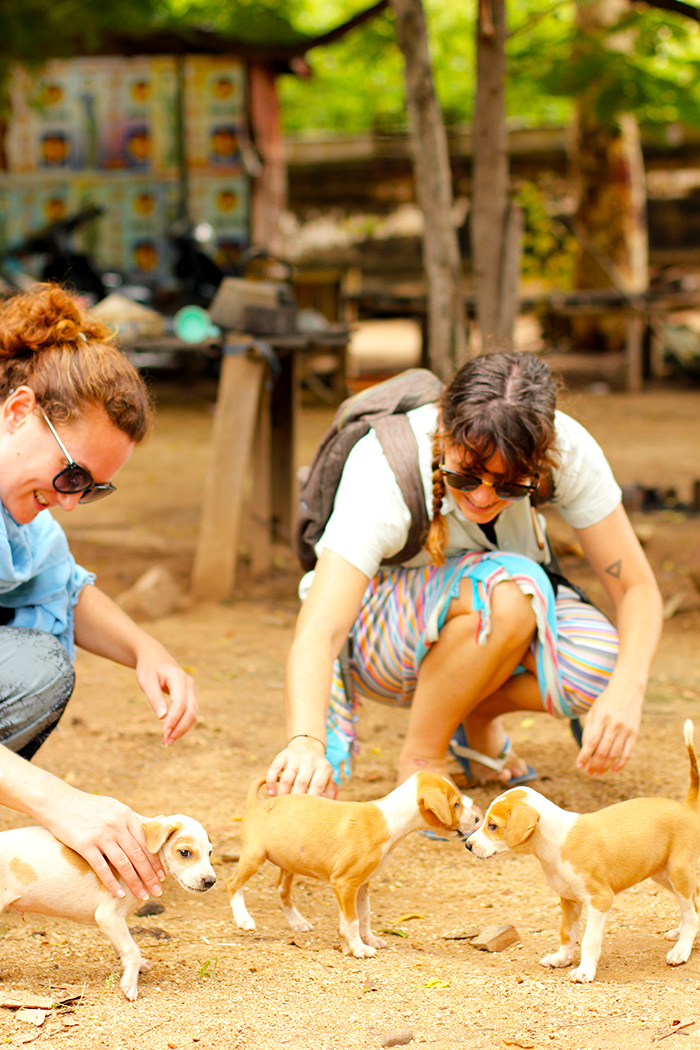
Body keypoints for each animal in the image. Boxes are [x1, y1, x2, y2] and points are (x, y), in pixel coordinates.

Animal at [0, 814, 216, 995]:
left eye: (210, 853)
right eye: (185, 852)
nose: (210, 881)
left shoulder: (114, 922)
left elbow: (123, 947)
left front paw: (136, 967)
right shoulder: (109, 916)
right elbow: (132, 949)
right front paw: (130, 984)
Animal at [227, 772, 478, 961]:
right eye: (456, 804)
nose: (477, 819)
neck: (389, 821)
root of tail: (256, 805)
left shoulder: (361, 884)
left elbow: (363, 915)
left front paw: (361, 941)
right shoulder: (345, 884)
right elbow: (352, 920)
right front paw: (358, 948)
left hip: (289, 863)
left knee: (281, 889)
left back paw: (297, 922)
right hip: (254, 857)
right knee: (233, 884)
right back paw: (243, 919)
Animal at [465, 722, 700, 982]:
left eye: (492, 825)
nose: (468, 845)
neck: (556, 842)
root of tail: (686, 807)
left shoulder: (600, 900)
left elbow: (589, 940)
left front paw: (585, 970)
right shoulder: (568, 899)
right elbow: (567, 933)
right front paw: (561, 959)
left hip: (678, 872)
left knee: (691, 913)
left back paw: (681, 950)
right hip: (663, 874)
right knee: (695, 902)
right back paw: (681, 933)